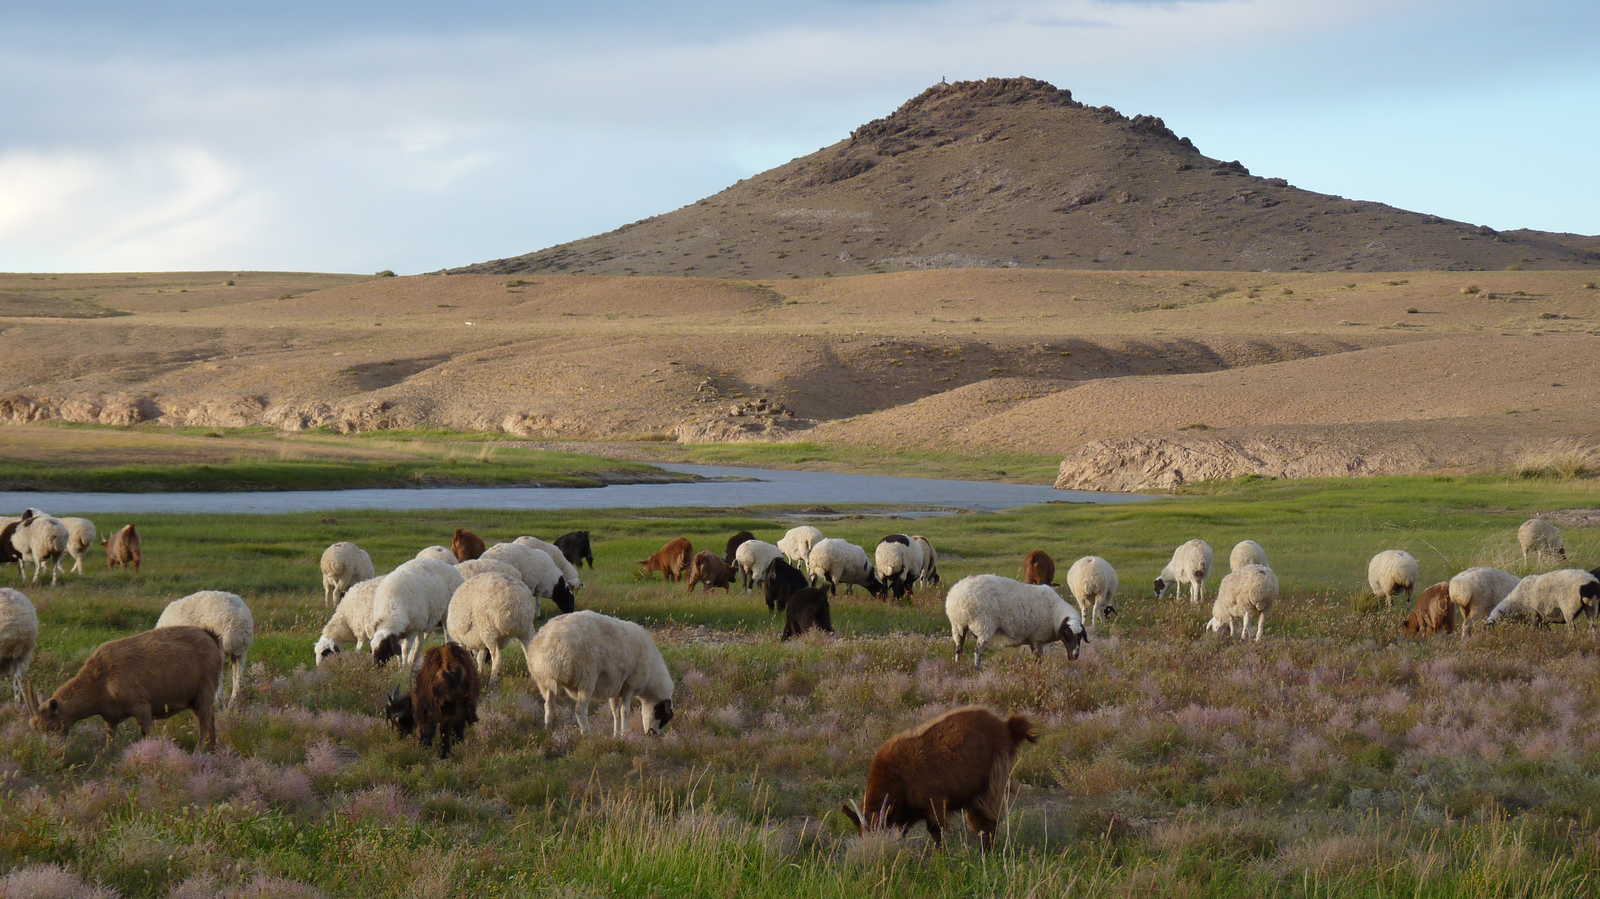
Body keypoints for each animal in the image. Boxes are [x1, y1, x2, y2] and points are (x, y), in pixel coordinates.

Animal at [26, 626, 222, 751]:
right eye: (36, 729)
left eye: (52, 727)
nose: (50, 751)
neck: (101, 681)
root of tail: (210, 636)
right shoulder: (110, 718)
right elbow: (110, 739)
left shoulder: (142, 707)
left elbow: (148, 734)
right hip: (195, 699)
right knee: (210, 719)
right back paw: (213, 749)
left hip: (205, 691)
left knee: (205, 723)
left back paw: (199, 751)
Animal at [526, 610, 675, 736]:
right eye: (662, 714)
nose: (652, 735)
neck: (651, 679)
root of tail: (549, 644)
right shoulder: (630, 685)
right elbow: (625, 712)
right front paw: (625, 734)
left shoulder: (615, 687)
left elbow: (615, 712)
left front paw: (616, 735)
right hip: (586, 679)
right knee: (580, 710)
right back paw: (587, 734)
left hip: (544, 681)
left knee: (548, 705)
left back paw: (548, 729)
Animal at [841, 706, 1036, 850]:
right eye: (861, 834)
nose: (871, 849)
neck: (896, 776)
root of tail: (1007, 727)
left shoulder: (935, 804)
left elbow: (937, 832)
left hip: (992, 784)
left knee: (988, 820)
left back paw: (988, 851)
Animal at [944, 574, 1087, 670]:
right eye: (1067, 634)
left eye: (1080, 636)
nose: (1075, 656)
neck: (1055, 614)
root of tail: (957, 596)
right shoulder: (1037, 639)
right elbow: (1038, 659)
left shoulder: (1034, 640)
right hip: (983, 625)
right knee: (977, 650)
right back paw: (977, 668)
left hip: (958, 625)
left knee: (959, 647)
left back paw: (958, 665)